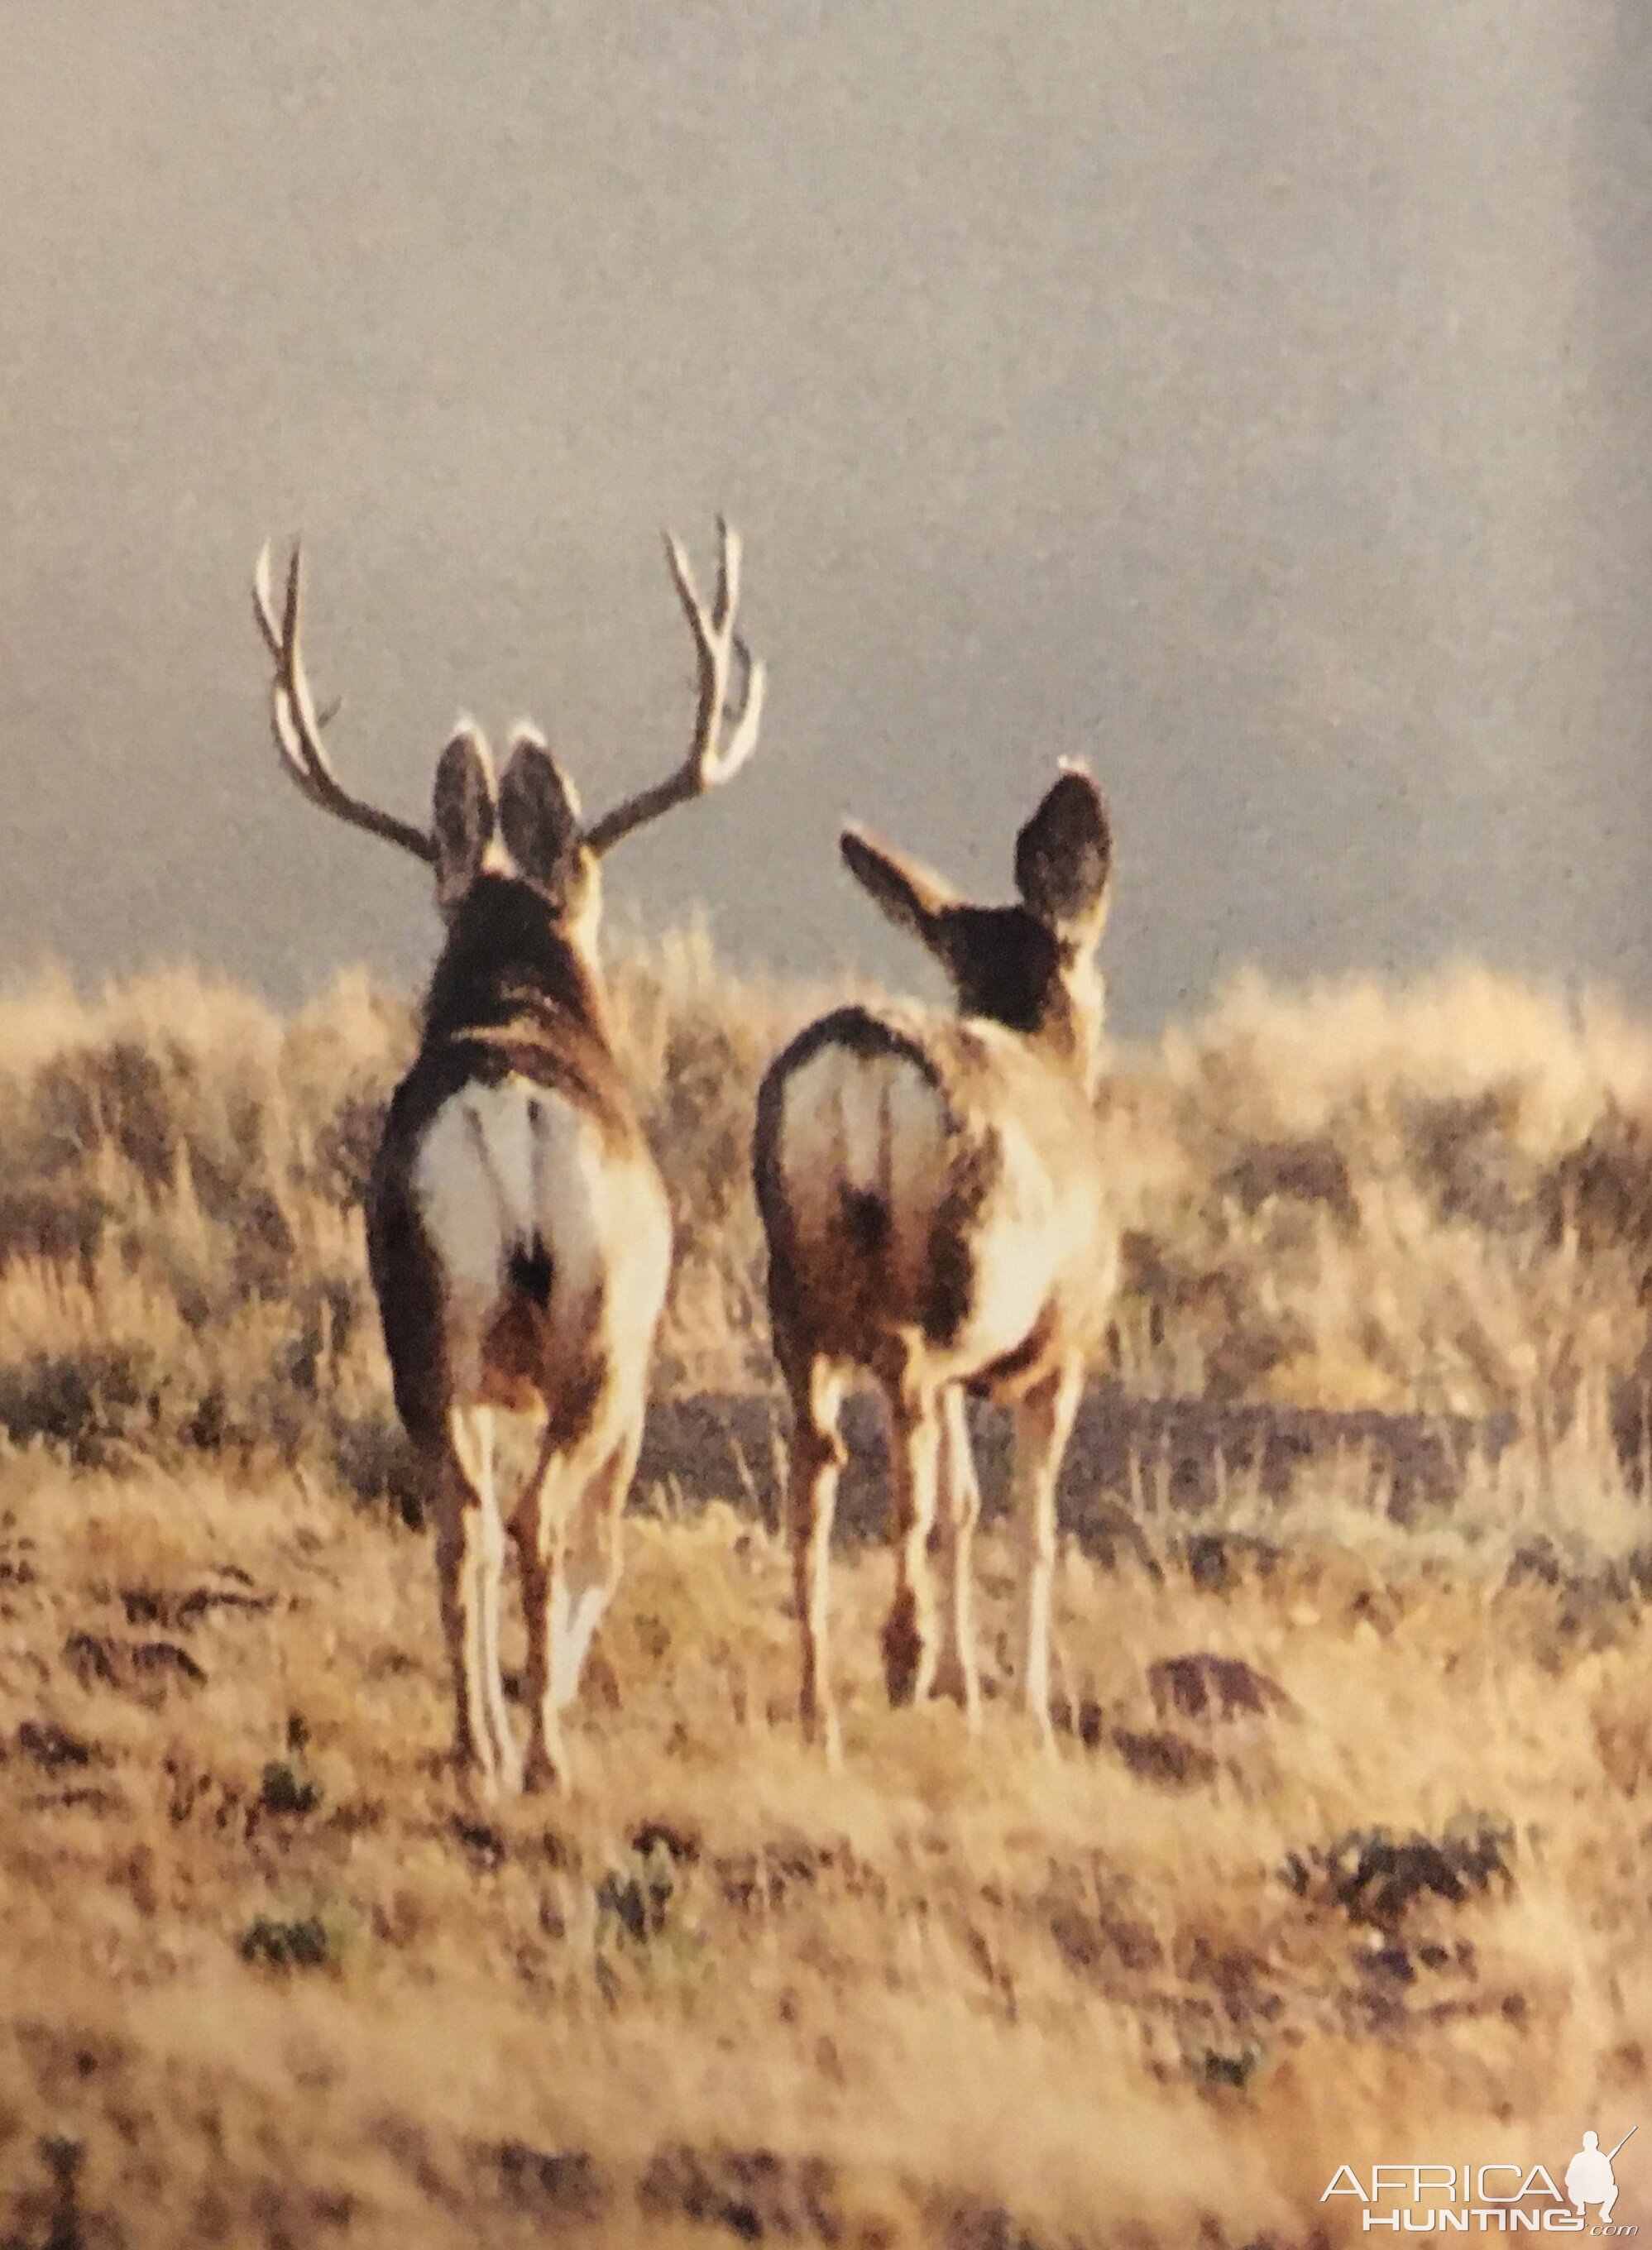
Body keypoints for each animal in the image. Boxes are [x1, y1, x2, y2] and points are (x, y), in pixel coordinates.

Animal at [251, 515, 769, 1791]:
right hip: (601, 1340)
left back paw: (474, 1744)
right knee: (542, 1526)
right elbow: (604, 1549)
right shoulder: (634, 1363)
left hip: (426, 1328)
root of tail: (506, 1104)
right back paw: (543, 1755)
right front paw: (559, 1702)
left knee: (462, 1530)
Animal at [751, 773, 1120, 1755]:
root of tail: (855, 1065)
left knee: (814, 1468)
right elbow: (1030, 1521)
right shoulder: (1062, 1350)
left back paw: (819, 1708)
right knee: (903, 1423)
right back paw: (899, 1656)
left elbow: (965, 1504)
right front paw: (1028, 1712)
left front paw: (969, 1690)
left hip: (793, 1295)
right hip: (945, 1289)